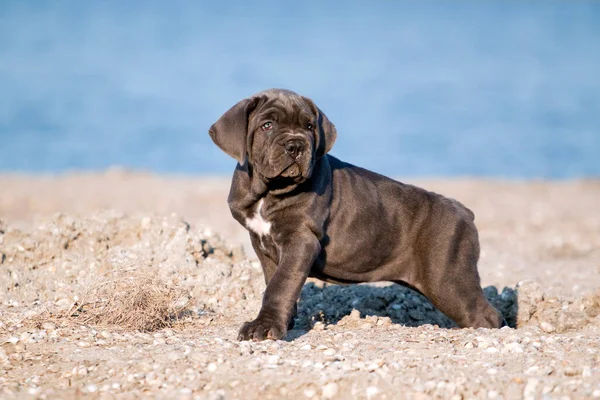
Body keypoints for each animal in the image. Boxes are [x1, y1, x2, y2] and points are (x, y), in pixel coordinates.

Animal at [209, 88, 504, 340]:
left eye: (309, 127)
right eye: (267, 125)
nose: (296, 145)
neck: (268, 191)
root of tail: (464, 211)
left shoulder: (301, 240)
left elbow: (279, 285)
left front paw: (264, 327)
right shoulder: (263, 244)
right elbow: (275, 280)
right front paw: (282, 321)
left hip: (447, 278)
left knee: (486, 315)